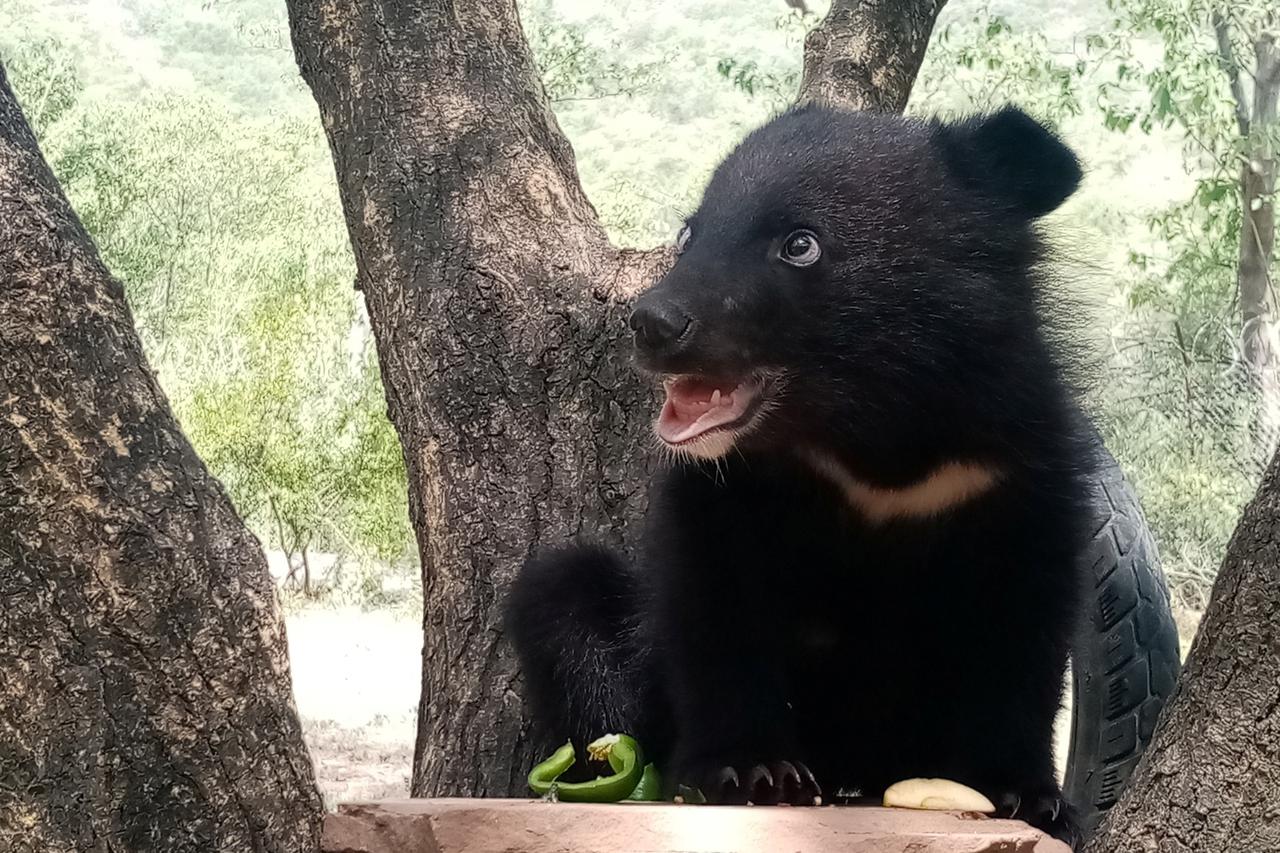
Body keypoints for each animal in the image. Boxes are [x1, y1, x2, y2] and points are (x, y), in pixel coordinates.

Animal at [505, 103, 1093, 846]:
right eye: (689, 232)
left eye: (801, 245)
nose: (652, 323)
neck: (868, 430)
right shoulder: (727, 485)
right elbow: (715, 602)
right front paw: (750, 772)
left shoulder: (1017, 471)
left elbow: (1025, 623)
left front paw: (1028, 794)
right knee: (563, 597)